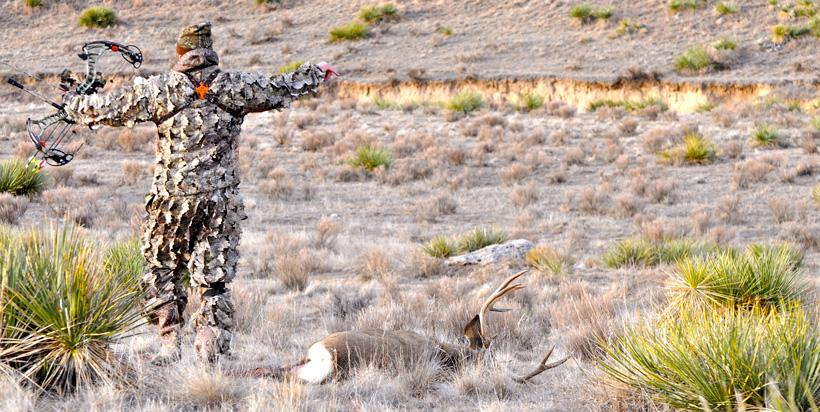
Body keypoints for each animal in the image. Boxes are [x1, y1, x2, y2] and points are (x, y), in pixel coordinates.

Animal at [233, 270, 568, 384]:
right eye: (487, 364)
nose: (515, 378)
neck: (445, 353)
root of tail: (322, 351)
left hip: (301, 361)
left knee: (275, 369)